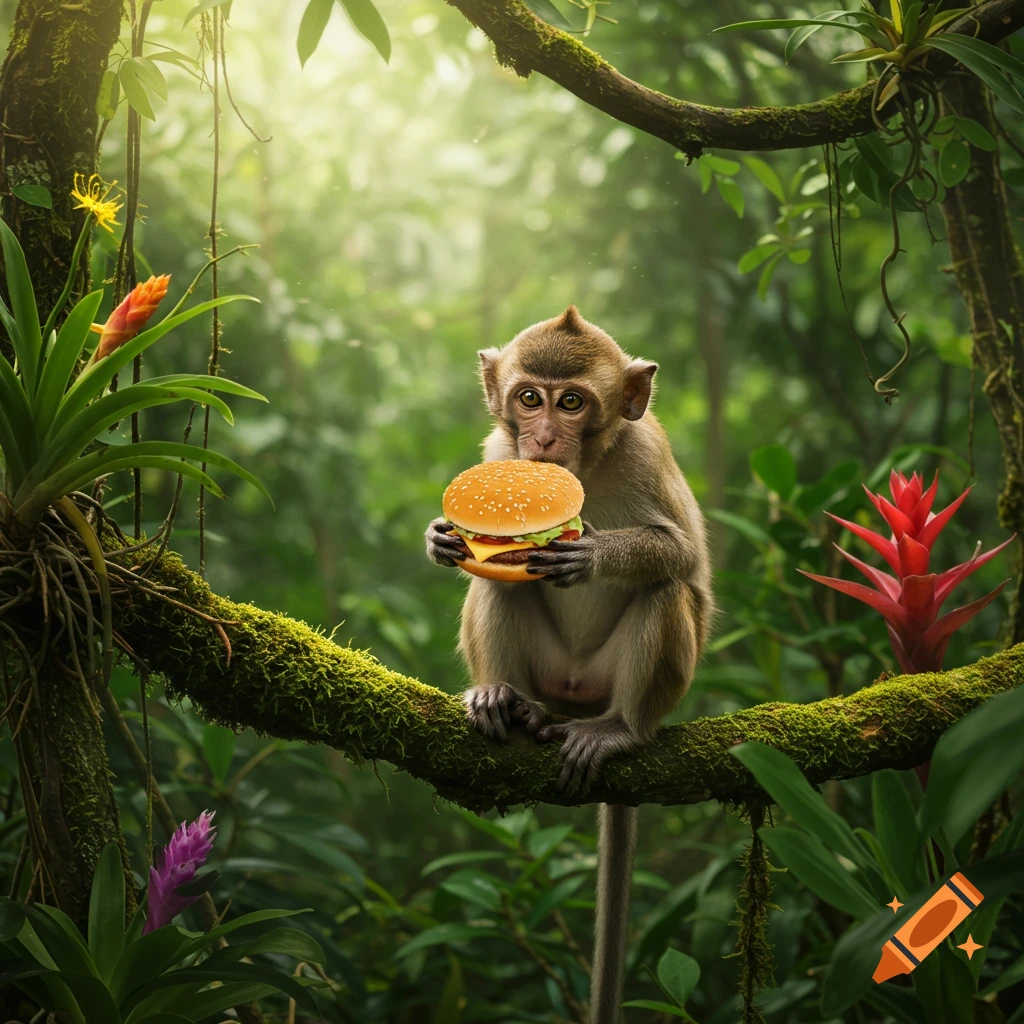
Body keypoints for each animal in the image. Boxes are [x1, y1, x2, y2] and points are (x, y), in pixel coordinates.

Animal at [425, 305, 713, 1024]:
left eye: (573, 402)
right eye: (530, 399)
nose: (546, 439)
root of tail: (578, 697)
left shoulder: (645, 455)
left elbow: (684, 557)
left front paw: (593, 554)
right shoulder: (498, 453)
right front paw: (439, 537)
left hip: (630, 684)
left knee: (665, 591)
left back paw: (619, 730)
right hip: (549, 672)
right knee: (498, 584)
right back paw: (506, 701)